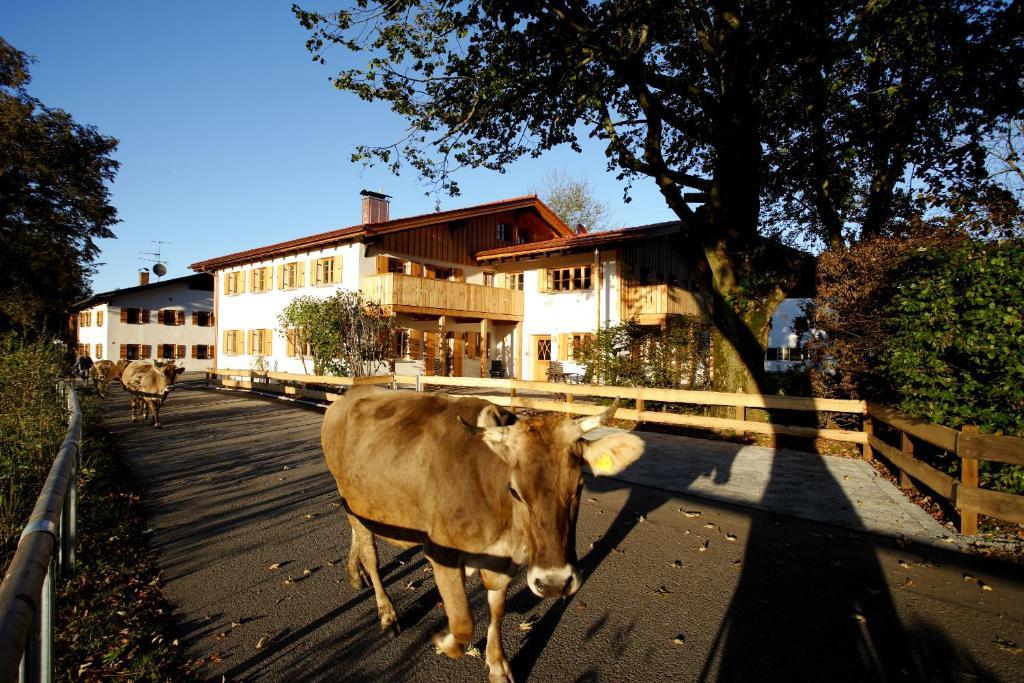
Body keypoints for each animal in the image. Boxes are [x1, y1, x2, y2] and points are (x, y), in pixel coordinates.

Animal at [319, 387, 643, 679]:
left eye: (579, 486)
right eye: (515, 490)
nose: (553, 584)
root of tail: (349, 395)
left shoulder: (503, 560)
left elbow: (496, 609)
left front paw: (498, 666)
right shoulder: (441, 554)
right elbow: (463, 623)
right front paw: (444, 641)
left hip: (358, 504)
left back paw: (354, 574)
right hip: (350, 499)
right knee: (370, 556)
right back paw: (387, 613)